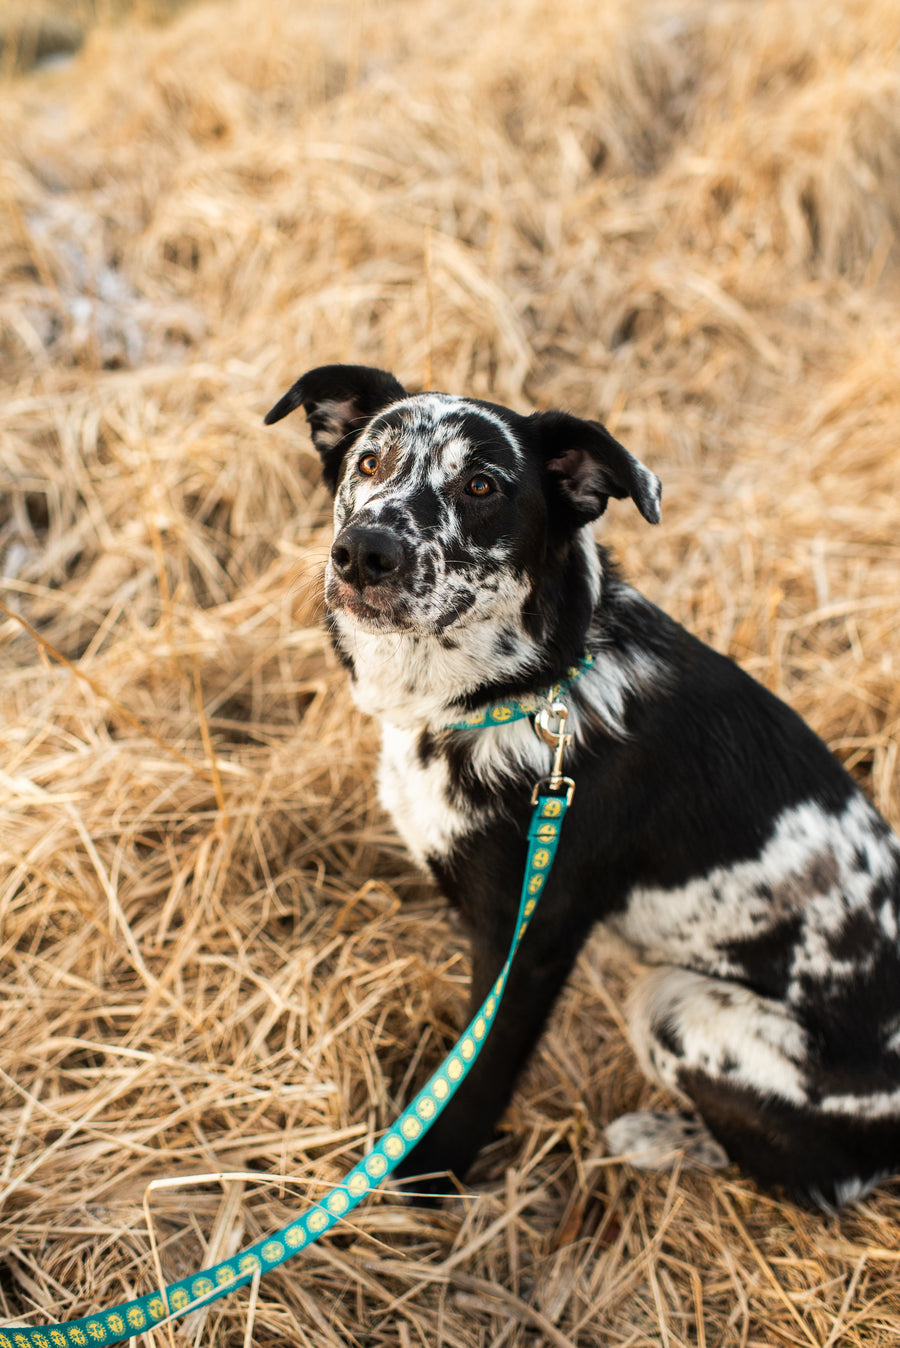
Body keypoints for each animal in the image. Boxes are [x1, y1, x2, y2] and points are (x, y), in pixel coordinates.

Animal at [265, 366, 900, 1213]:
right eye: (369, 462)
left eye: (482, 484)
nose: (364, 552)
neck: (523, 692)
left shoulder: (526, 948)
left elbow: (474, 1078)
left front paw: (426, 1176)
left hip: (678, 1003)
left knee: (820, 1177)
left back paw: (665, 1138)